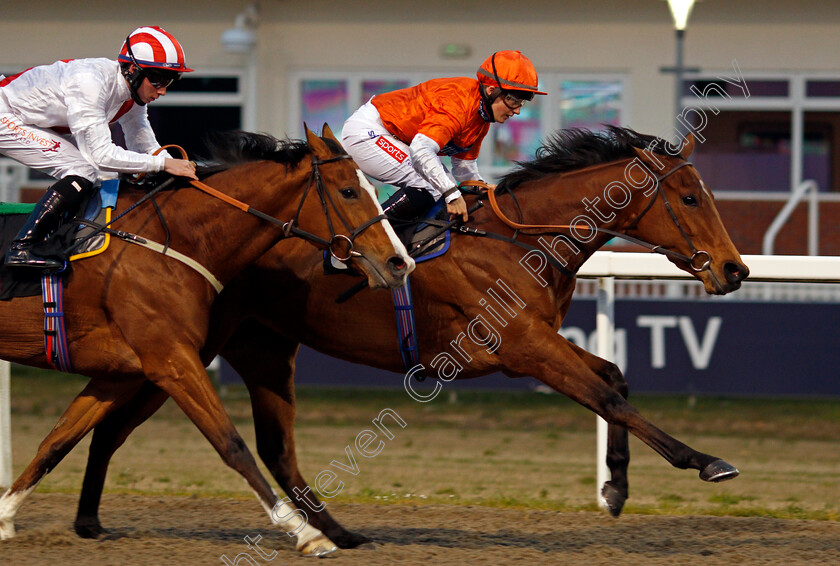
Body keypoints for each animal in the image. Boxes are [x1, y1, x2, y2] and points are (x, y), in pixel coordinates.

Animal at [0, 124, 414, 556]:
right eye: (348, 191)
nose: (399, 262)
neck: (177, 238)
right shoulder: (172, 361)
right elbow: (231, 444)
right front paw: (305, 532)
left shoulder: (122, 373)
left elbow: (59, 439)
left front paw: (6, 517)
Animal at [74, 125, 748, 556]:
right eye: (692, 197)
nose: (735, 269)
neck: (520, 242)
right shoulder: (523, 347)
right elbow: (609, 397)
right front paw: (706, 461)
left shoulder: (537, 341)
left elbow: (614, 378)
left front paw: (614, 487)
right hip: (182, 347)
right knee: (120, 424)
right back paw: (89, 518)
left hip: (257, 346)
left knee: (255, 443)